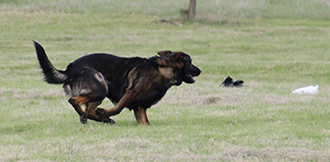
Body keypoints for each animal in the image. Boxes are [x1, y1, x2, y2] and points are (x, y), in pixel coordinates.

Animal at [32, 41, 201, 124]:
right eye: (191, 62)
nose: (200, 71)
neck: (162, 69)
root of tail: (70, 69)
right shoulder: (130, 93)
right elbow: (118, 108)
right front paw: (105, 112)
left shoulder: (140, 107)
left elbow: (145, 123)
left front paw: (104, 115)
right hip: (100, 89)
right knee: (74, 101)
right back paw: (91, 116)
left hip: (98, 94)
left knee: (89, 111)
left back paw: (101, 119)